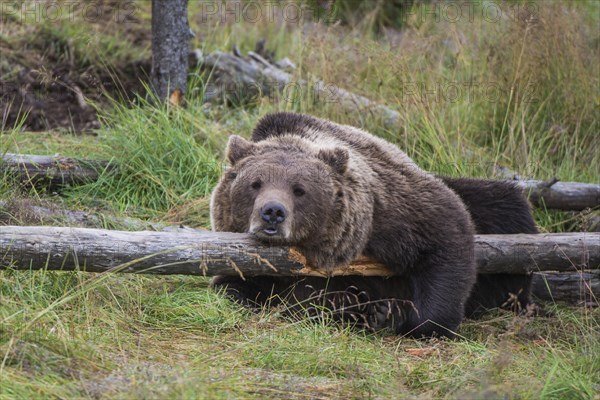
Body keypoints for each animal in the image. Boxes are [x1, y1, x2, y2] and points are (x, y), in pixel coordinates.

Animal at [212, 111, 540, 338]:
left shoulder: (391, 210)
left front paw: (418, 320)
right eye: (255, 184)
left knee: (506, 209)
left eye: (299, 189)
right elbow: (234, 287)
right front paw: (346, 305)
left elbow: (446, 236)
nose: (272, 213)